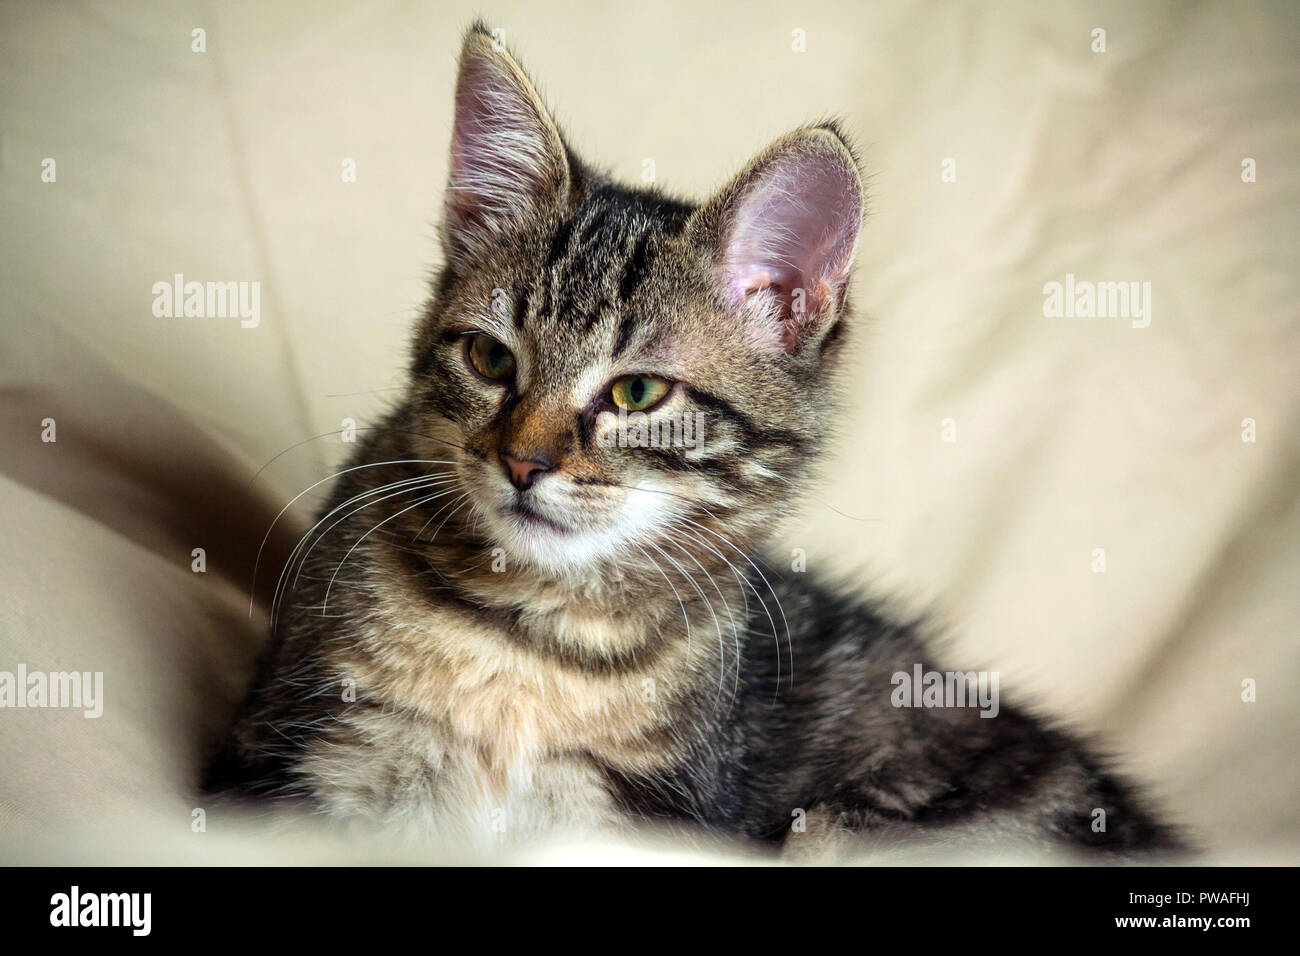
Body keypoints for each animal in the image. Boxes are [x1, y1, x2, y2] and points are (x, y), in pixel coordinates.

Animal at [205, 22, 1190, 858]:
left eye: (638, 392)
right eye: (489, 357)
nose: (521, 461)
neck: (535, 638)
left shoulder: (653, 817)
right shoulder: (290, 760)